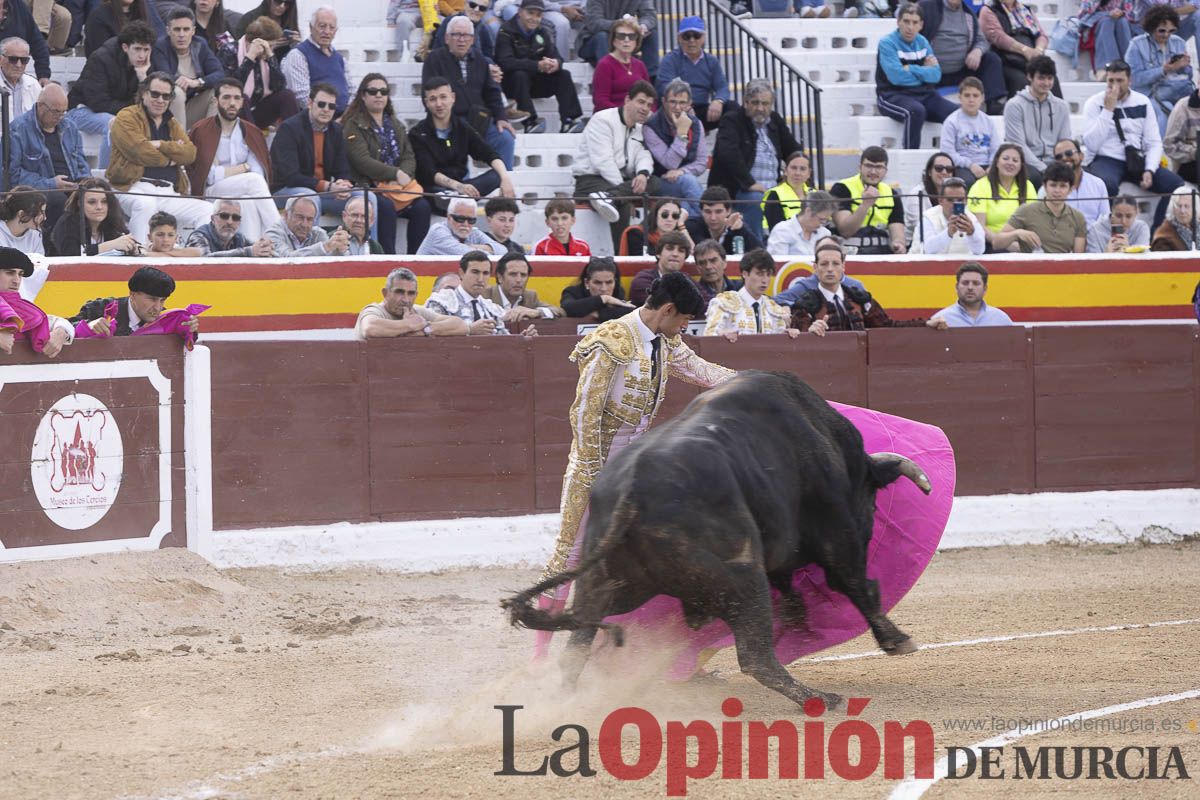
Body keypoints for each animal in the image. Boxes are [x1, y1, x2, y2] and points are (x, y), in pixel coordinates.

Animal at [501, 369, 931, 705]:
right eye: (871, 504)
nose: (872, 525)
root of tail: (632, 492)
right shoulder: (836, 532)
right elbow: (855, 582)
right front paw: (897, 640)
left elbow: (792, 584)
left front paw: (800, 620)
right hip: (742, 576)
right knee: (756, 657)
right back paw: (819, 699)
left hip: (606, 581)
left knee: (577, 643)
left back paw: (566, 703)